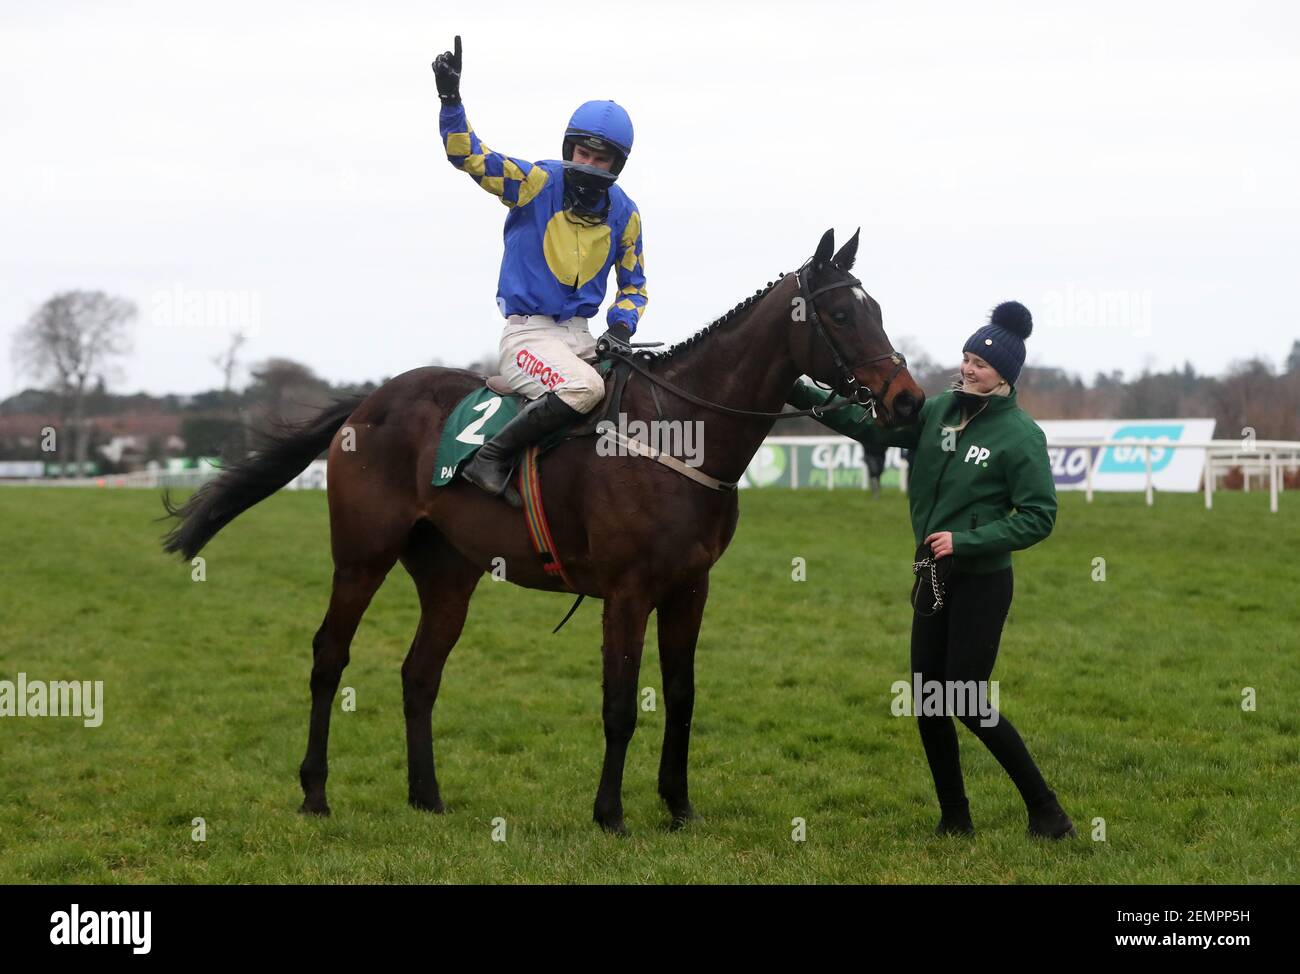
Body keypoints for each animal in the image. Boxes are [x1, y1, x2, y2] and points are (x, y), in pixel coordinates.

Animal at [162, 227, 925, 837]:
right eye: (840, 312)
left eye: (879, 310)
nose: (907, 400)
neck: (680, 432)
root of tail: (368, 401)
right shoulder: (627, 592)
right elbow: (619, 704)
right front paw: (610, 814)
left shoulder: (689, 588)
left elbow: (681, 697)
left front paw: (679, 807)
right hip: (361, 557)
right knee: (329, 656)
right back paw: (315, 793)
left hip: (449, 572)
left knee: (419, 673)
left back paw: (427, 797)